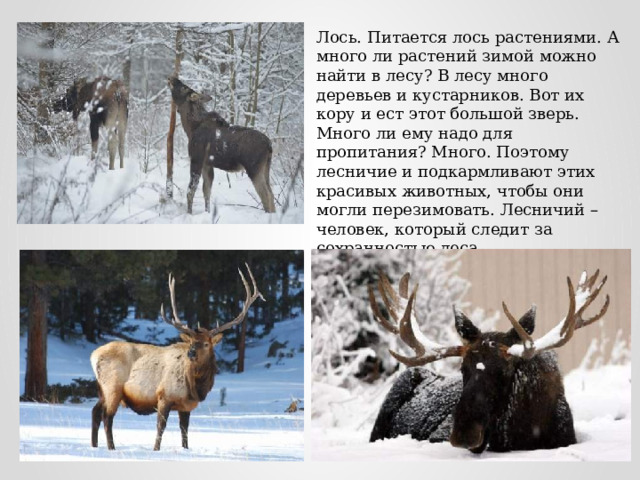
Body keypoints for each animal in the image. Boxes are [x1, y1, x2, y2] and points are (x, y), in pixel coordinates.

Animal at [90, 264, 263, 451]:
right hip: (112, 387)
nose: (191, 353)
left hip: (102, 390)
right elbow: (161, 427)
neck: (195, 387)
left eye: (206, 344)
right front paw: (156, 449)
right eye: (191, 342)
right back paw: (111, 447)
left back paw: (94, 445)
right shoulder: (164, 396)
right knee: (107, 417)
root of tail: (93, 355)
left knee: (95, 412)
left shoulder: (186, 406)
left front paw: (185, 449)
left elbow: (184, 430)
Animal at [167, 76, 276, 214]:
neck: (190, 127)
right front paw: (207, 212)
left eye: (183, 87)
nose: (172, 78)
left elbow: (190, 191)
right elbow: (206, 191)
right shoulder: (207, 164)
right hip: (266, 168)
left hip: (254, 169)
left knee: (266, 196)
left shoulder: (196, 159)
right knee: (271, 194)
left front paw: (189, 213)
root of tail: (270, 145)